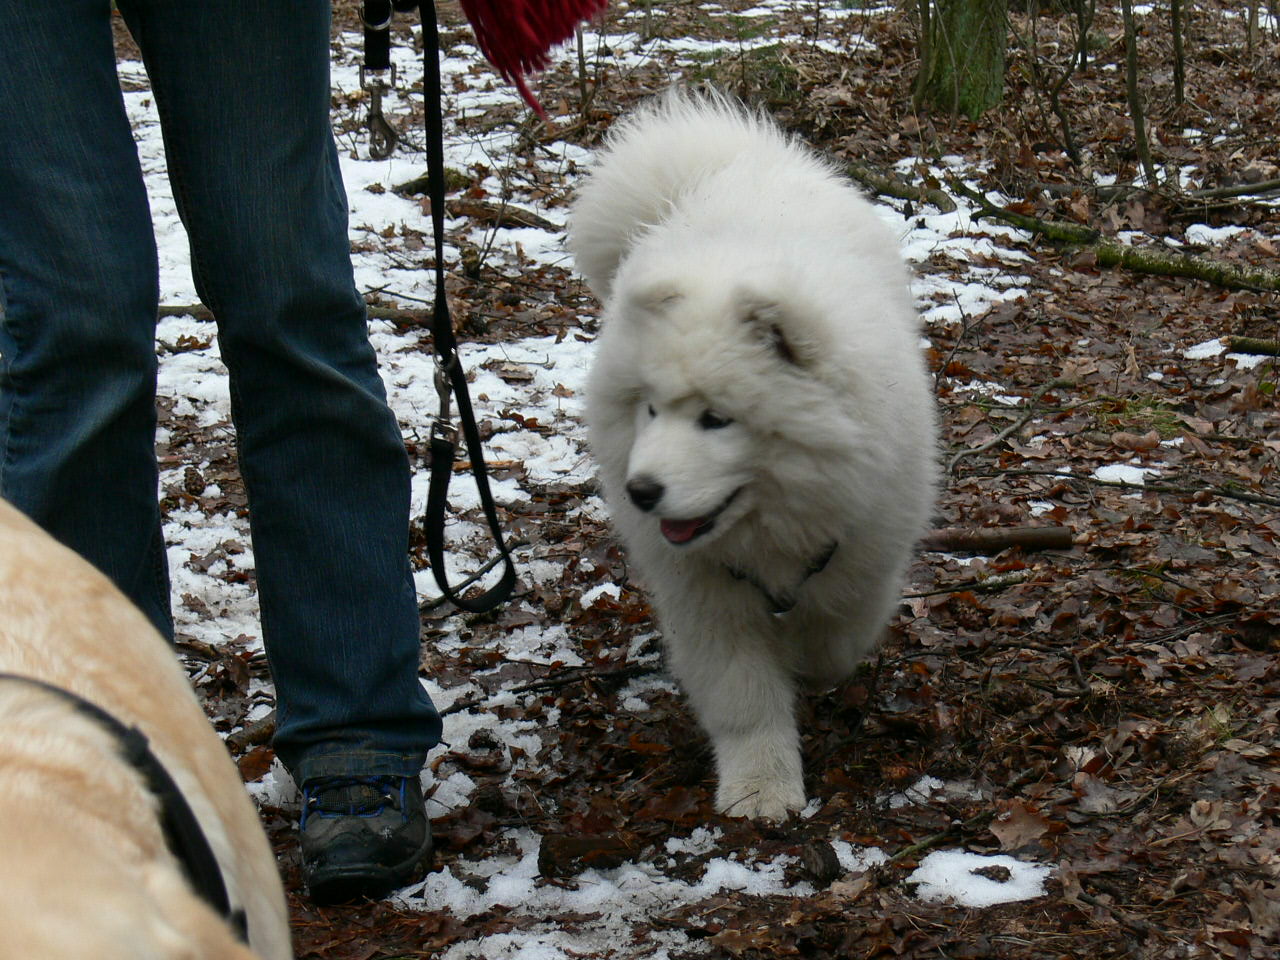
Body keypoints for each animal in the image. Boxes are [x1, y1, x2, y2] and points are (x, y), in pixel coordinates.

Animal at [565, 94, 936, 824]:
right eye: (651, 409)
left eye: (717, 419)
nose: (642, 491)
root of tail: (735, 159)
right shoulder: (705, 596)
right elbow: (741, 696)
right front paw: (760, 789)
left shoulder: (866, 553)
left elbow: (836, 635)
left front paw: (808, 667)